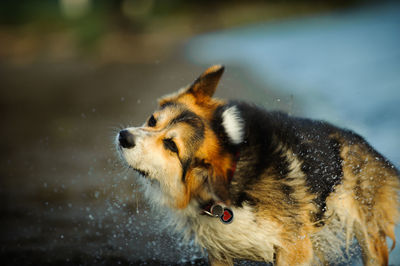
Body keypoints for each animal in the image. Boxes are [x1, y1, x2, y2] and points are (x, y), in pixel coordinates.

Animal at [114, 65, 398, 266]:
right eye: (152, 120)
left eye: (171, 146)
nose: (123, 137)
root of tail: (365, 144)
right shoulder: (220, 254)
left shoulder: (295, 248)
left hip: (368, 232)